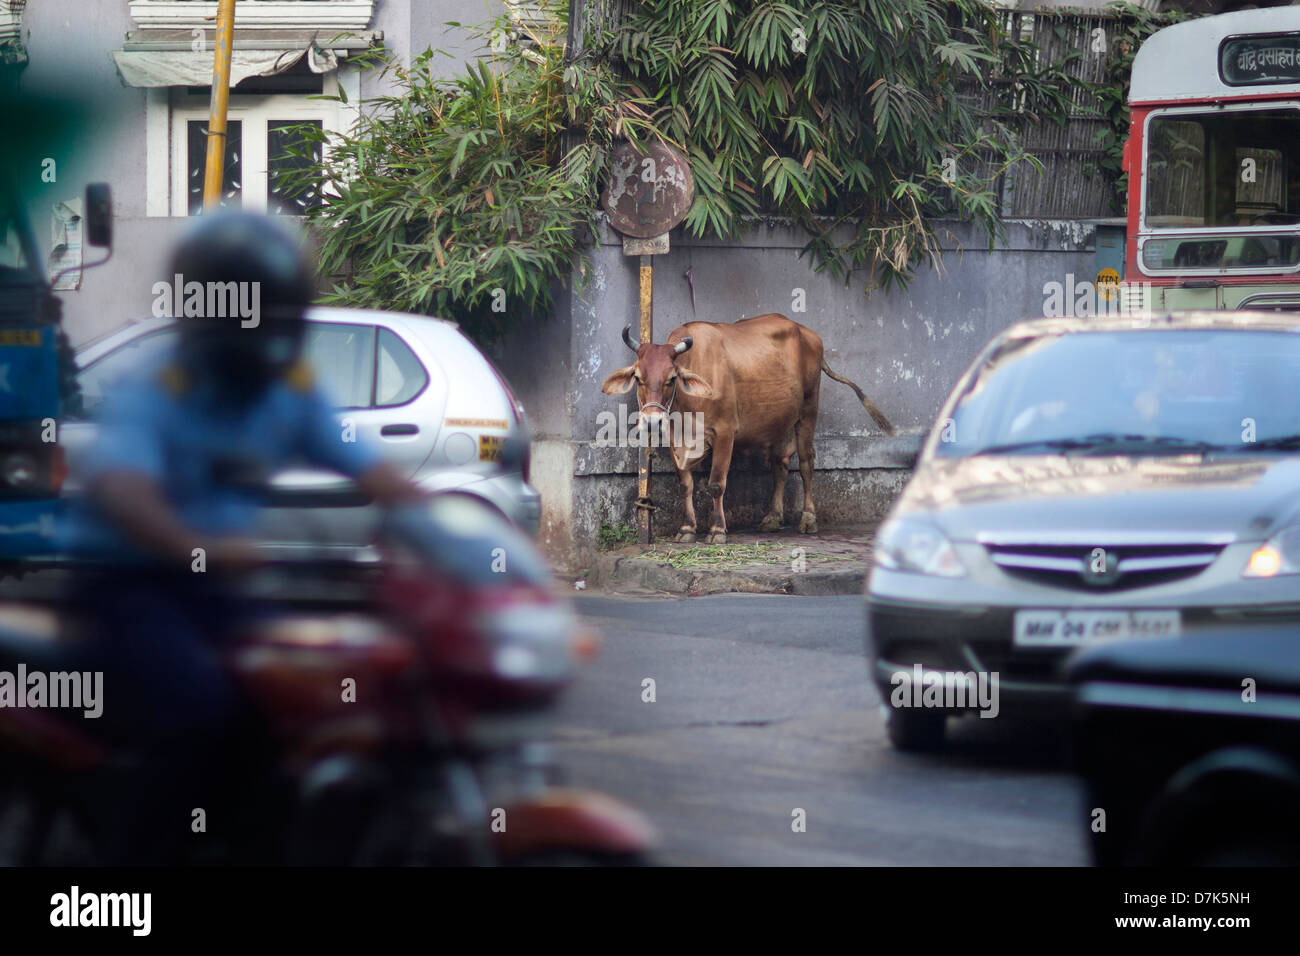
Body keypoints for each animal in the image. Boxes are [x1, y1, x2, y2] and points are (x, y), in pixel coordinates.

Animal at [600, 312, 894, 538]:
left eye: (671, 378)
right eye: (638, 377)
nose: (652, 421)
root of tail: (808, 333)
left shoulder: (725, 433)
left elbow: (716, 484)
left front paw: (717, 530)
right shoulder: (675, 438)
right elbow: (685, 484)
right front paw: (687, 528)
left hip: (808, 411)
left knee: (806, 463)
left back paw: (808, 519)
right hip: (780, 418)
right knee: (780, 465)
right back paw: (772, 517)